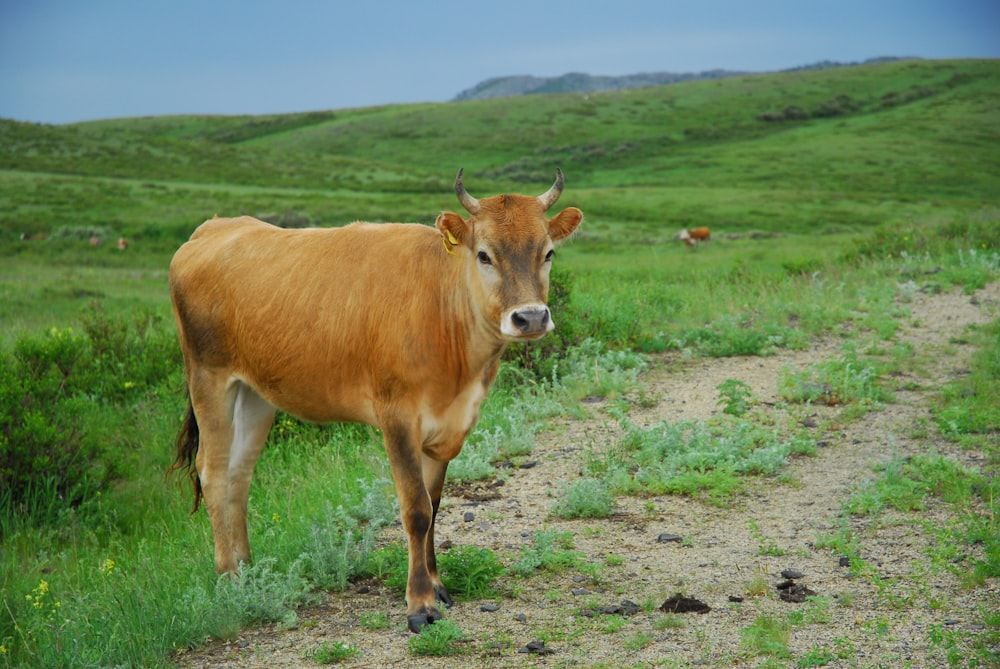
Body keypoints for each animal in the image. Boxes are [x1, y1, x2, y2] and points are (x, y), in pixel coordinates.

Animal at [168, 167, 584, 632]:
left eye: (548, 253)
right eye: (484, 255)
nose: (530, 317)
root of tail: (213, 228)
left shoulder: (446, 423)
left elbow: (434, 504)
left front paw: (437, 585)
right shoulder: (397, 415)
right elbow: (416, 508)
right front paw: (420, 603)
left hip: (255, 391)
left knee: (239, 473)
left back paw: (249, 571)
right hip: (208, 378)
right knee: (213, 471)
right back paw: (230, 578)